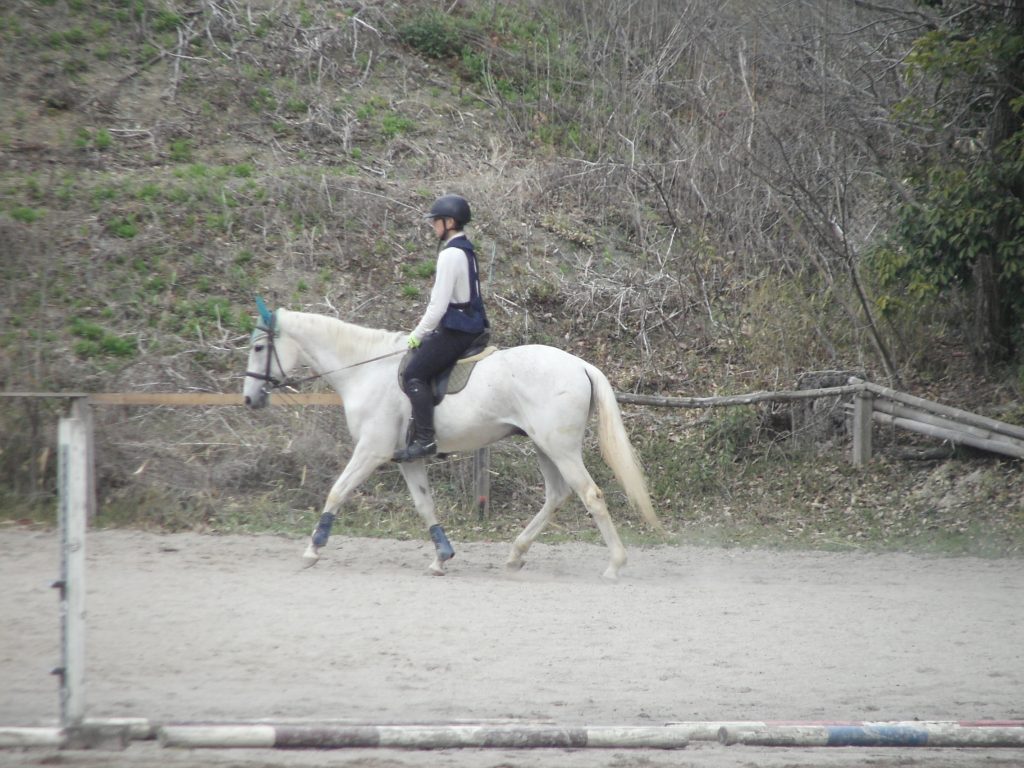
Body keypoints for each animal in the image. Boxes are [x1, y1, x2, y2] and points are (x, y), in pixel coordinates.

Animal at [242, 304, 662, 579]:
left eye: (259, 348)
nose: (250, 399)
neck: (366, 371)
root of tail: (580, 365)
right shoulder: (408, 457)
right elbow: (424, 505)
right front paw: (442, 556)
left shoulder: (371, 451)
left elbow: (337, 491)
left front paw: (313, 549)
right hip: (544, 446)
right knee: (557, 495)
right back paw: (515, 555)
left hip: (559, 448)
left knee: (590, 495)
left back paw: (614, 565)